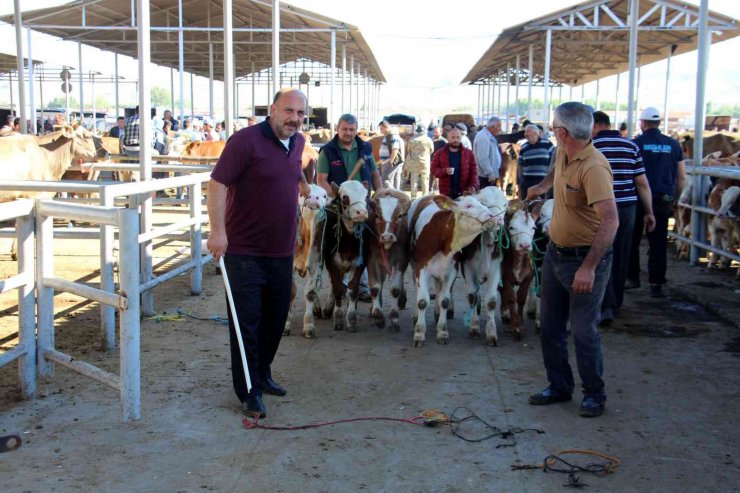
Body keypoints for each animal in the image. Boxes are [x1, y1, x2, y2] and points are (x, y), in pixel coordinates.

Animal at [284, 184, 328, 338]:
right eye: (302, 194)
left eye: (324, 195)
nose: (313, 198)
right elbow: (290, 291)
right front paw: (286, 324)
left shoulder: (316, 265)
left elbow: (310, 292)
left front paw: (309, 325)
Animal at [368, 188, 414, 330]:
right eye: (377, 216)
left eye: (400, 216)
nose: (387, 236)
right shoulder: (371, 260)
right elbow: (375, 287)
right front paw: (378, 315)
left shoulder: (402, 260)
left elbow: (395, 289)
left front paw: (394, 317)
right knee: (381, 282)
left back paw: (402, 299)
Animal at [408, 193, 494, 346]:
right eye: (468, 205)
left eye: (482, 203)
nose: (491, 216)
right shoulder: (420, 267)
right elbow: (422, 301)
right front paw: (419, 334)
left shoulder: (452, 270)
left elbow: (444, 300)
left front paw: (442, 332)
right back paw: (416, 316)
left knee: (438, 286)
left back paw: (437, 313)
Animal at [456, 185, 508, 346]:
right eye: (483, 203)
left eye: (505, 204)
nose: (497, 219)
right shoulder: (467, 268)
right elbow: (473, 296)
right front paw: (474, 328)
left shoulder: (496, 269)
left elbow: (490, 301)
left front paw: (491, 334)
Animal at [498, 203, 536, 338]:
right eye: (512, 227)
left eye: (533, 227)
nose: (525, 245)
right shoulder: (503, 277)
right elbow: (510, 297)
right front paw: (515, 326)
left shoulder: (529, 276)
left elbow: (521, 297)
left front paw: (521, 323)